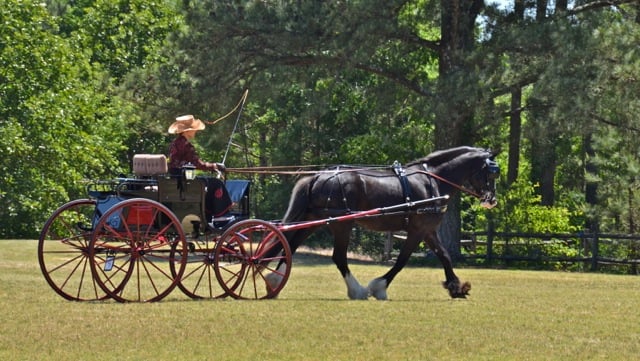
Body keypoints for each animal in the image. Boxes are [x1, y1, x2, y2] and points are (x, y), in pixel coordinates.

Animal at [272, 145, 498, 300]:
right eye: (491, 172)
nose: (492, 200)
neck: (433, 180)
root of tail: (318, 176)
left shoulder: (428, 231)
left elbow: (445, 256)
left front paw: (456, 288)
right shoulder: (417, 230)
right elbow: (401, 261)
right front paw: (378, 288)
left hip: (315, 220)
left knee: (290, 245)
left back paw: (275, 281)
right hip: (342, 224)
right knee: (338, 257)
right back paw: (358, 290)